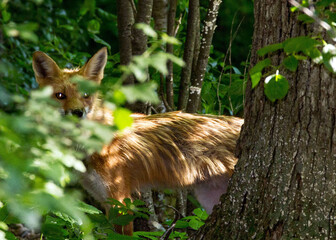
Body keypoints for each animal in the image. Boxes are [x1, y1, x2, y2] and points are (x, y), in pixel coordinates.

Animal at [32, 47, 242, 235]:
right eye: (60, 96)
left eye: (86, 96)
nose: (78, 113)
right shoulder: (103, 200)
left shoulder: (120, 201)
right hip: (209, 198)